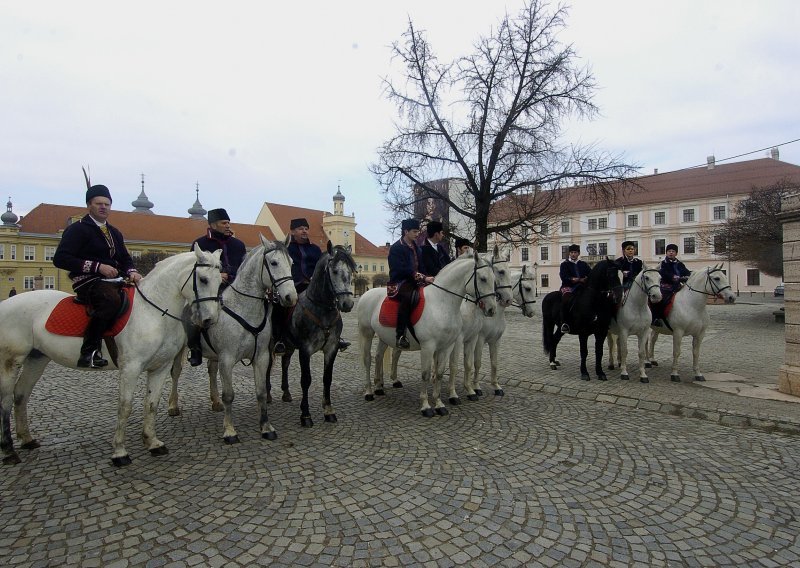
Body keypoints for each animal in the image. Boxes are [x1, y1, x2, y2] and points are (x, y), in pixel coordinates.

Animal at [0, 248, 222, 466]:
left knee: (21, 394)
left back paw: (27, 439)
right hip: (10, 361)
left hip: (37, 358)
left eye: (220, 281)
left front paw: (152, 443)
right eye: (203, 279)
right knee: (5, 400)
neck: (154, 311)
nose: (210, 320)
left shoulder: (160, 367)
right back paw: (9, 451)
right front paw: (120, 452)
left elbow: (151, 404)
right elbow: (125, 406)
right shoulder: (130, 367)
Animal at [169, 235, 296, 444]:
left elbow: (261, 392)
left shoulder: (261, 357)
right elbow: (229, 395)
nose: (290, 297)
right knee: (176, 372)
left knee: (211, 371)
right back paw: (173, 405)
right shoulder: (227, 359)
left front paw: (266, 427)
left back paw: (215, 402)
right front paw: (229, 431)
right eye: (274, 262)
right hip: (181, 351)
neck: (245, 309)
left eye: (291, 263)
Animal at [356, 253, 494, 418]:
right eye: (483, 278)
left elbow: (440, 373)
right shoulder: (428, 347)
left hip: (384, 337)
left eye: (494, 278)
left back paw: (378, 387)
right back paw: (369, 392)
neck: (441, 303)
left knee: (378, 357)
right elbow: (426, 374)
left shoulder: (446, 346)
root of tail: (366, 294)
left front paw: (439, 404)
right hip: (367, 333)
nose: (492, 309)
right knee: (367, 360)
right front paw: (426, 406)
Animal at [450, 264, 536, 402]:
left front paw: (496, 387)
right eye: (528, 288)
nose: (532, 312)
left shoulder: (496, 340)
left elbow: (494, 363)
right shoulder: (479, 339)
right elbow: (477, 363)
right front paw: (476, 387)